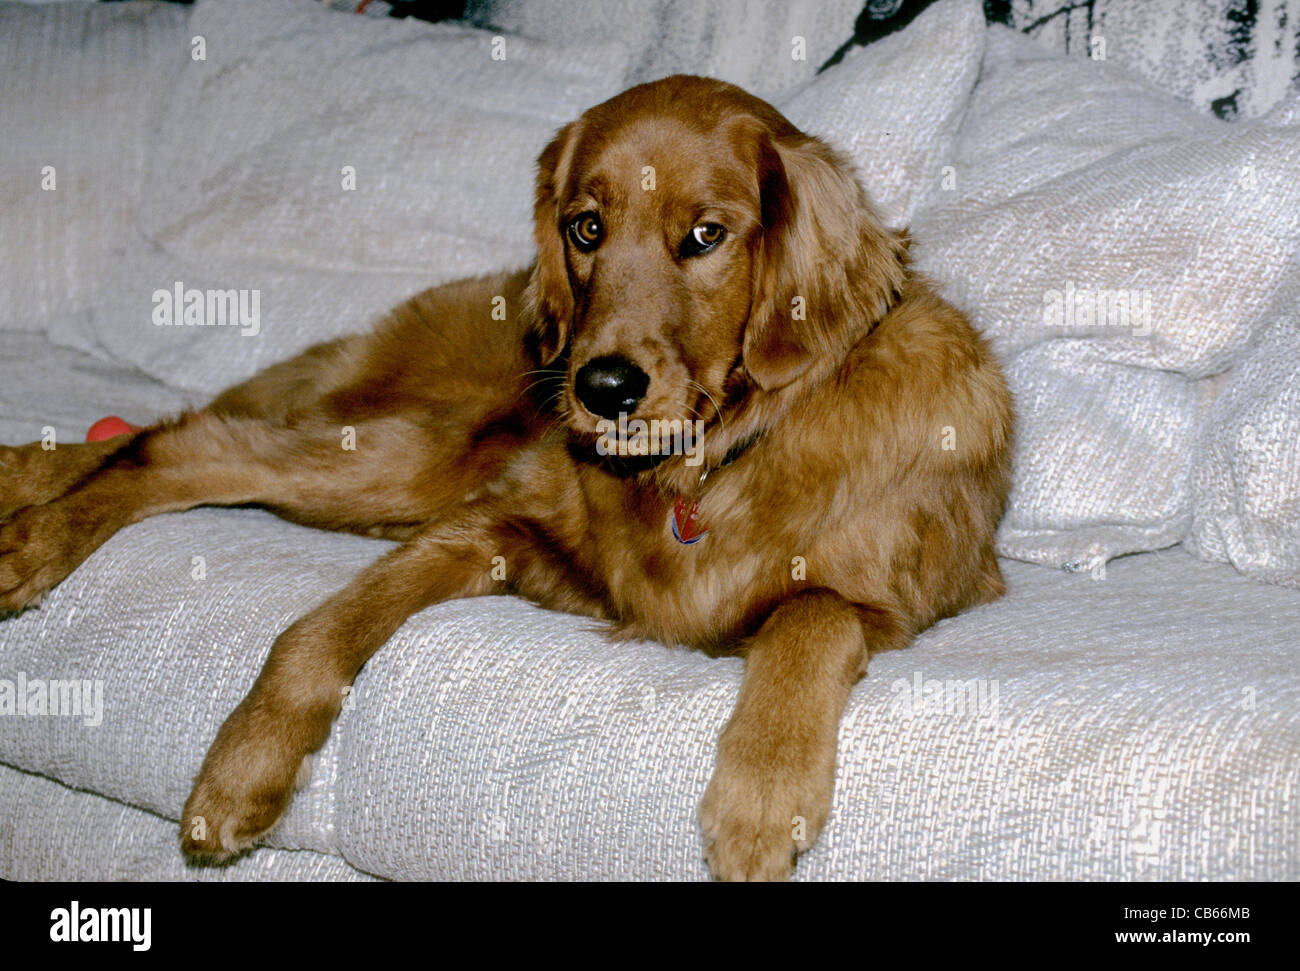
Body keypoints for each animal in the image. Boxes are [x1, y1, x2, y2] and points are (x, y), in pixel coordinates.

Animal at [0, 76, 1008, 878]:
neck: (705, 464)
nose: (602, 388)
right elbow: (315, 633)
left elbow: (811, 614)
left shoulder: (905, 600)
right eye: (587, 227)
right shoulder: (488, 523)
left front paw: (758, 804)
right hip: (414, 460)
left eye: (706, 235)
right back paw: (31, 532)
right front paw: (242, 768)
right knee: (184, 439)